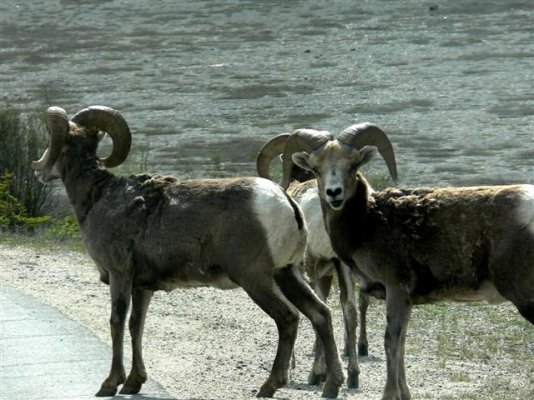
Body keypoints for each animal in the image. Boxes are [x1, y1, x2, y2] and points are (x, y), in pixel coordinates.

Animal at [31, 104, 346, 398]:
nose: (40, 170)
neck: (98, 198)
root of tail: (286, 204)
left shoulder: (119, 276)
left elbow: (116, 322)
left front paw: (110, 384)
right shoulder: (142, 286)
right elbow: (136, 326)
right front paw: (134, 382)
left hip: (256, 279)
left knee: (288, 318)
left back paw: (268, 387)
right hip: (288, 273)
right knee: (320, 314)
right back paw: (331, 385)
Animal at [258, 134, 370, 388]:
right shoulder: (329, 272)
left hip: (311, 266)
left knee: (322, 310)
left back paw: (316, 374)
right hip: (341, 267)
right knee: (348, 309)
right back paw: (353, 375)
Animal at [274, 122, 532, 400]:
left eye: (353, 165)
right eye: (316, 168)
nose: (334, 193)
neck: (368, 222)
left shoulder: (396, 290)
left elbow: (391, 341)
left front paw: (389, 394)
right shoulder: (405, 299)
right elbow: (402, 341)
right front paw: (404, 393)